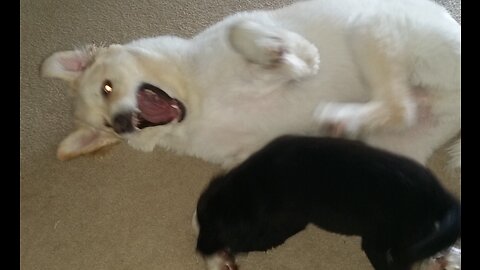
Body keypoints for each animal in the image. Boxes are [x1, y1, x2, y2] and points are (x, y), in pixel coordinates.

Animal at [42, 0, 462, 171]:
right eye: (108, 127)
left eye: (107, 88)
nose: (122, 124)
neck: (198, 101)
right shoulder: (248, 148)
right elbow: (237, 164)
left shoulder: (249, 28)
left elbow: (243, 30)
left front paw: (293, 57)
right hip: (394, 144)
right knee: (402, 112)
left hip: (367, 26)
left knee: (397, 103)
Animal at [195, 136, 462, 270]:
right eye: (200, 222)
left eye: (216, 231)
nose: (198, 249)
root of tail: (439, 196)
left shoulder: (288, 224)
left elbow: (260, 240)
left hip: (383, 239)